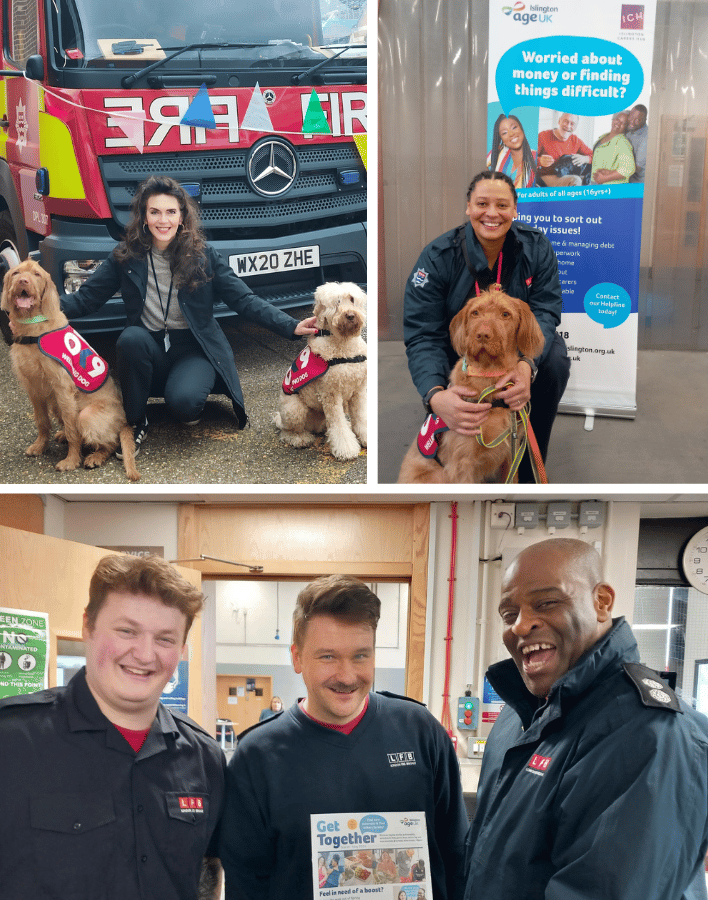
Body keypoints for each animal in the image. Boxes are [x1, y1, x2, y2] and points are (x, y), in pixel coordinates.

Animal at [1, 258, 140, 482]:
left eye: (36, 274)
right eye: (16, 273)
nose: (23, 281)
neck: (33, 326)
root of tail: (124, 422)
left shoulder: (62, 389)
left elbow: (73, 429)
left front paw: (71, 460)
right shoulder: (34, 389)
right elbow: (42, 421)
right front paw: (40, 445)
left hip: (87, 415)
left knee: (108, 443)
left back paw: (95, 456)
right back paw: (62, 435)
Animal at [276, 282, 368, 460]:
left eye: (352, 299)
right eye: (337, 302)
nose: (350, 315)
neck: (343, 344)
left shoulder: (359, 390)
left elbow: (361, 417)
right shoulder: (331, 394)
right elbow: (338, 426)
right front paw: (346, 449)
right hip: (294, 409)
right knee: (287, 432)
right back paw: (300, 439)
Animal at [398, 288, 544, 486]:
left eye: (505, 314)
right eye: (475, 313)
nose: (482, 335)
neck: (488, 375)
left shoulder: (511, 454)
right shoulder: (463, 465)